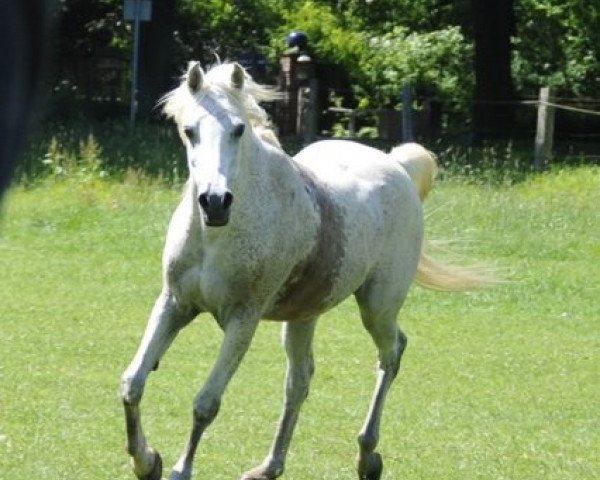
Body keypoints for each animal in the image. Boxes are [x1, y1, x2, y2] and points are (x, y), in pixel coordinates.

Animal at [120, 61, 488, 480]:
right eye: (189, 131)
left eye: (238, 129)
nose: (214, 201)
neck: (218, 235)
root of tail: (397, 165)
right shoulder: (175, 303)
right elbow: (133, 383)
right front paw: (146, 460)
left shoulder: (242, 320)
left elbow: (206, 403)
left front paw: (180, 470)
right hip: (303, 315)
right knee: (299, 381)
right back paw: (269, 467)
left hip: (377, 307)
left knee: (392, 353)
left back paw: (367, 455)